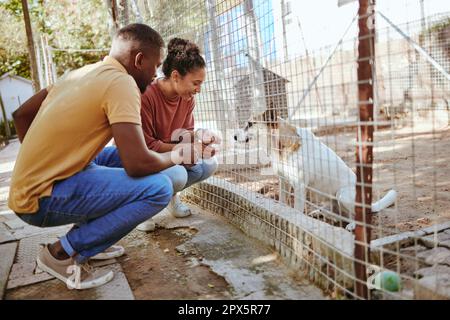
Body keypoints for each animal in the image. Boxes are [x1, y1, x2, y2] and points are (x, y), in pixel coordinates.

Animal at [236, 110, 398, 230]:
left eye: (250, 124)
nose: (234, 136)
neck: (282, 144)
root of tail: (371, 205)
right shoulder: (283, 182)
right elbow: (282, 203)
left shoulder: (299, 186)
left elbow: (297, 210)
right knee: (336, 215)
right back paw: (319, 214)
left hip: (343, 194)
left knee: (358, 218)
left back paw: (352, 225)